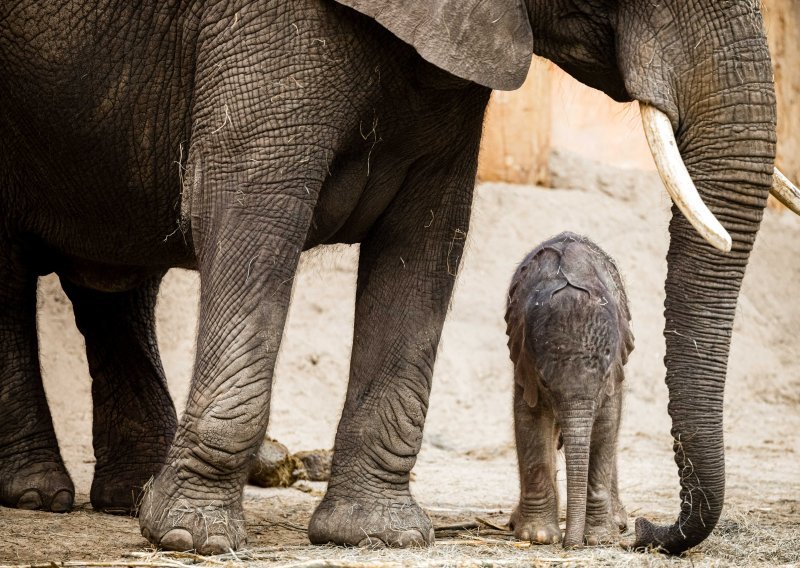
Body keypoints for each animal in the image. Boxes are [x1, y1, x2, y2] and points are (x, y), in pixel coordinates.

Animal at [506, 233, 632, 548]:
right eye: (545, 382)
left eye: (602, 379)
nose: (569, 545)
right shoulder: (524, 358)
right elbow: (530, 420)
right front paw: (537, 536)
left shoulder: (613, 371)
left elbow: (606, 426)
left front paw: (600, 538)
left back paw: (617, 522)